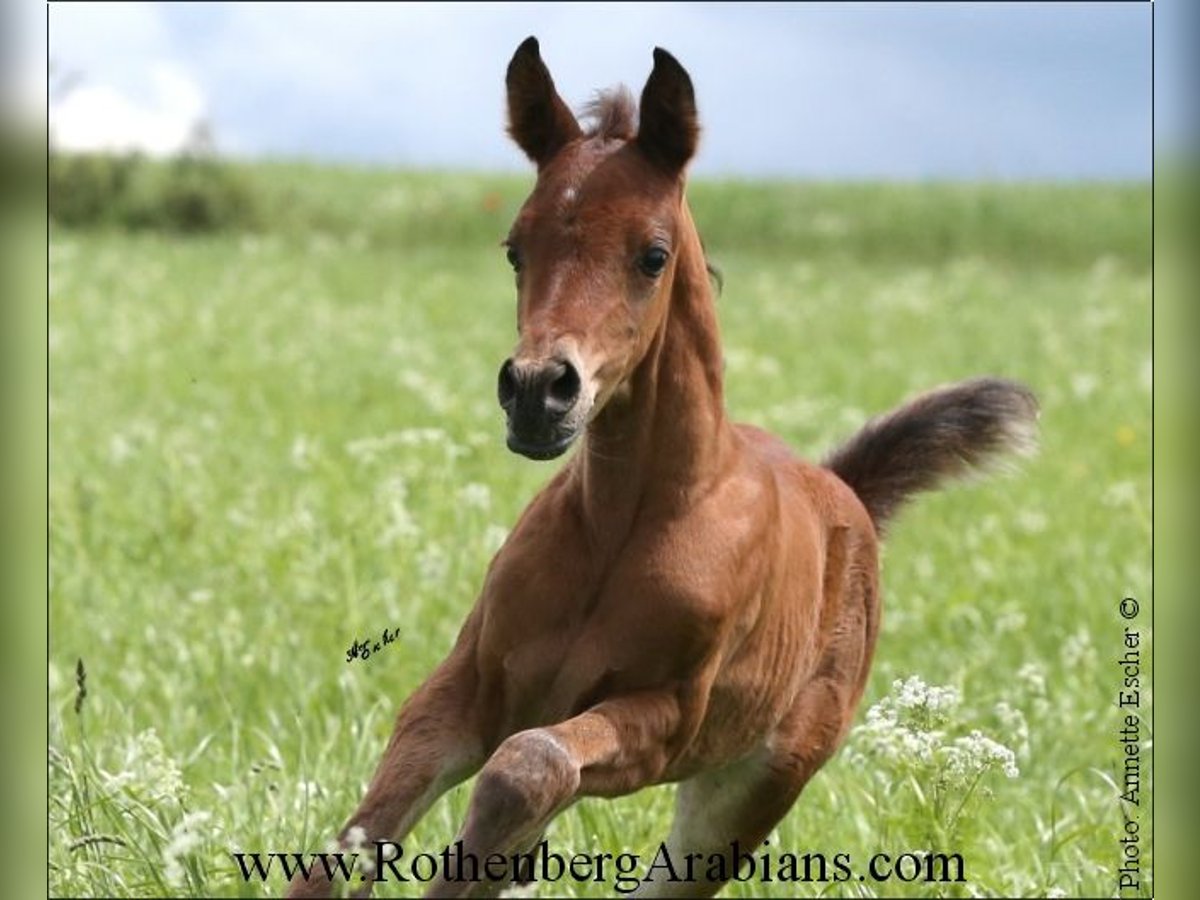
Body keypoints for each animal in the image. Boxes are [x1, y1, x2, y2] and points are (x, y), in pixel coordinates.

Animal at [285, 38, 1036, 897]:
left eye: (653, 255)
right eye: (516, 248)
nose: (537, 392)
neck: (623, 528)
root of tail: (845, 490)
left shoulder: (667, 722)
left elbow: (528, 765)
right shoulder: (465, 687)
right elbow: (352, 844)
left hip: (748, 792)